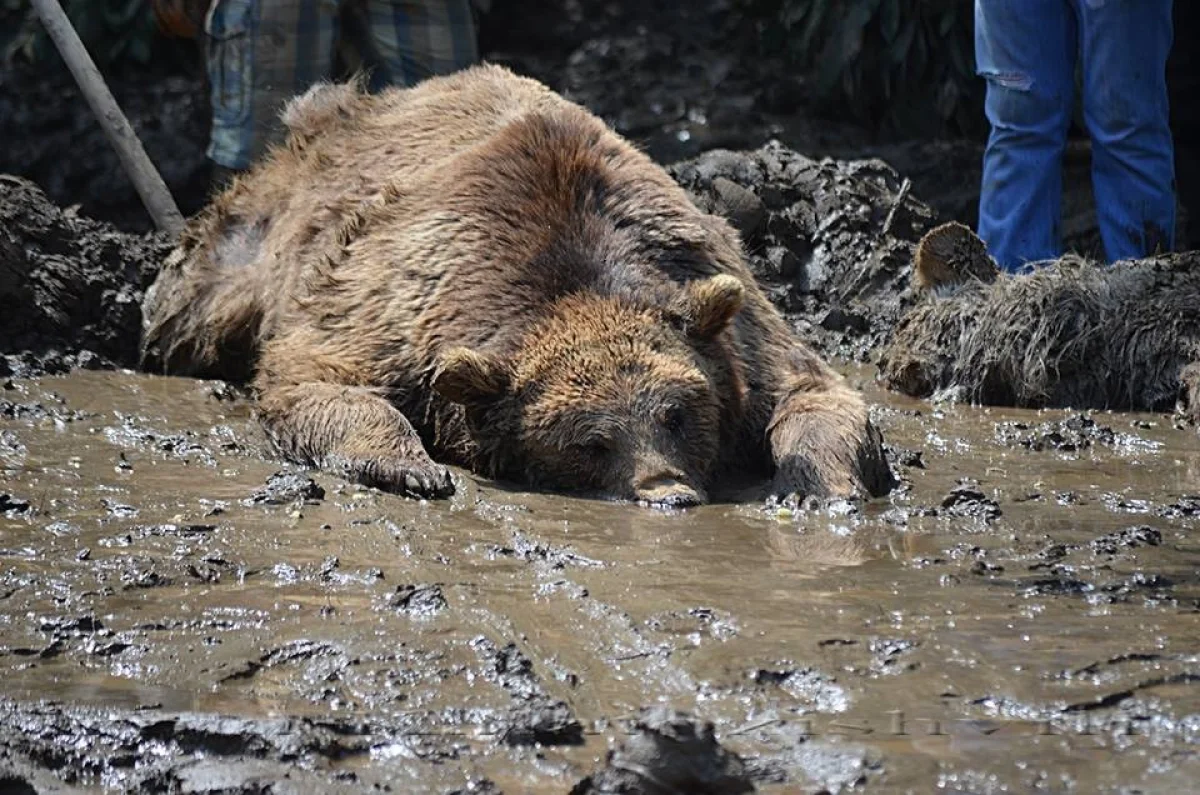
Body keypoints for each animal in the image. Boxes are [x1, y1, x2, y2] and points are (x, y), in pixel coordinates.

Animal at [140, 65, 897, 506]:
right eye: (590, 441)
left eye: (678, 413)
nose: (667, 492)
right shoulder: (390, 309)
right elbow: (317, 380)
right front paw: (412, 466)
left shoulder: (727, 313)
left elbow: (813, 392)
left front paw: (814, 487)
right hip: (255, 235)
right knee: (191, 302)